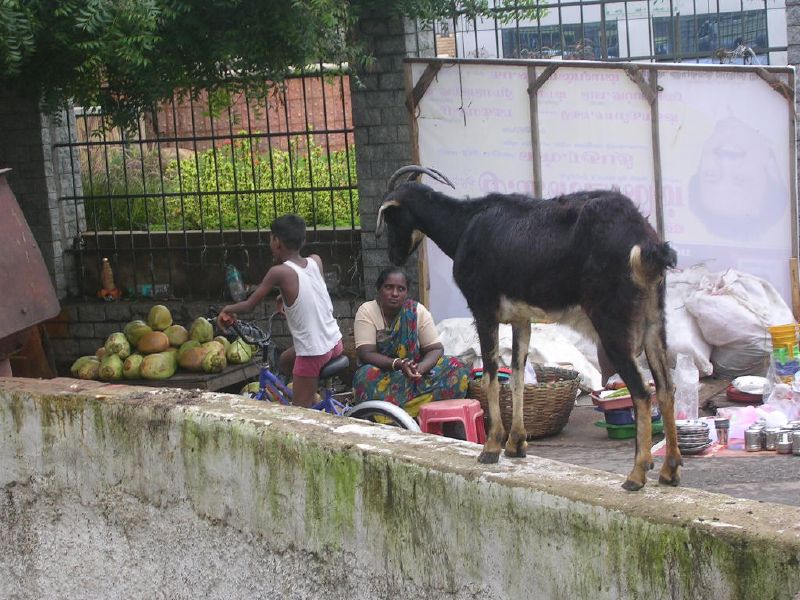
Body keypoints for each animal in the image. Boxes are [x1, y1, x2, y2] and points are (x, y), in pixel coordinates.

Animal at [378, 162, 680, 490]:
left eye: (391, 218)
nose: (393, 257)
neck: (465, 225)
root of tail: (647, 243)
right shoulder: (521, 319)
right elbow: (518, 373)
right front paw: (516, 444)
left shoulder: (483, 309)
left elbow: (492, 373)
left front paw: (492, 446)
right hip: (654, 320)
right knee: (666, 387)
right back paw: (669, 471)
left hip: (613, 324)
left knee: (642, 391)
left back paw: (636, 475)